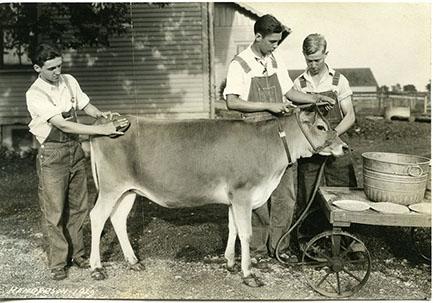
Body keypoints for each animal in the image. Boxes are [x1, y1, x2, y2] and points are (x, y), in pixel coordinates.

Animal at [89, 107, 348, 288]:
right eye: (320, 126)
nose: (344, 147)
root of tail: (107, 120)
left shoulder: (234, 198)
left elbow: (233, 228)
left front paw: (231, 263)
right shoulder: (243, 193)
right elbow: (245, 233)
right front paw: (248, 274)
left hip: (129, 191)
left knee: (118, 219)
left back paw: (133, 262)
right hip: (111, 187)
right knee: (97, 217)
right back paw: (96, 268)